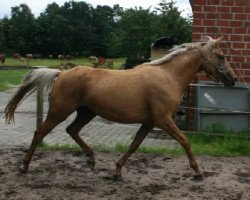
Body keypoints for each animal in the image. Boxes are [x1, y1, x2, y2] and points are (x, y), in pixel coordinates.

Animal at [5, 36, 236, 181]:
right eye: (222, 56)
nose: (233, 79)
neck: (167, 76)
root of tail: (61, 73)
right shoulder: (163, 120)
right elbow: (185, 141)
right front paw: (197, 172)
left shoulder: (149, 122)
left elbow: (134, 145)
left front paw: (117, 172)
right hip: (59, 112)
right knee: (39, 134)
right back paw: (24, 166)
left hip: (86, 112)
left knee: (72, 130)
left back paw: (91, 160)